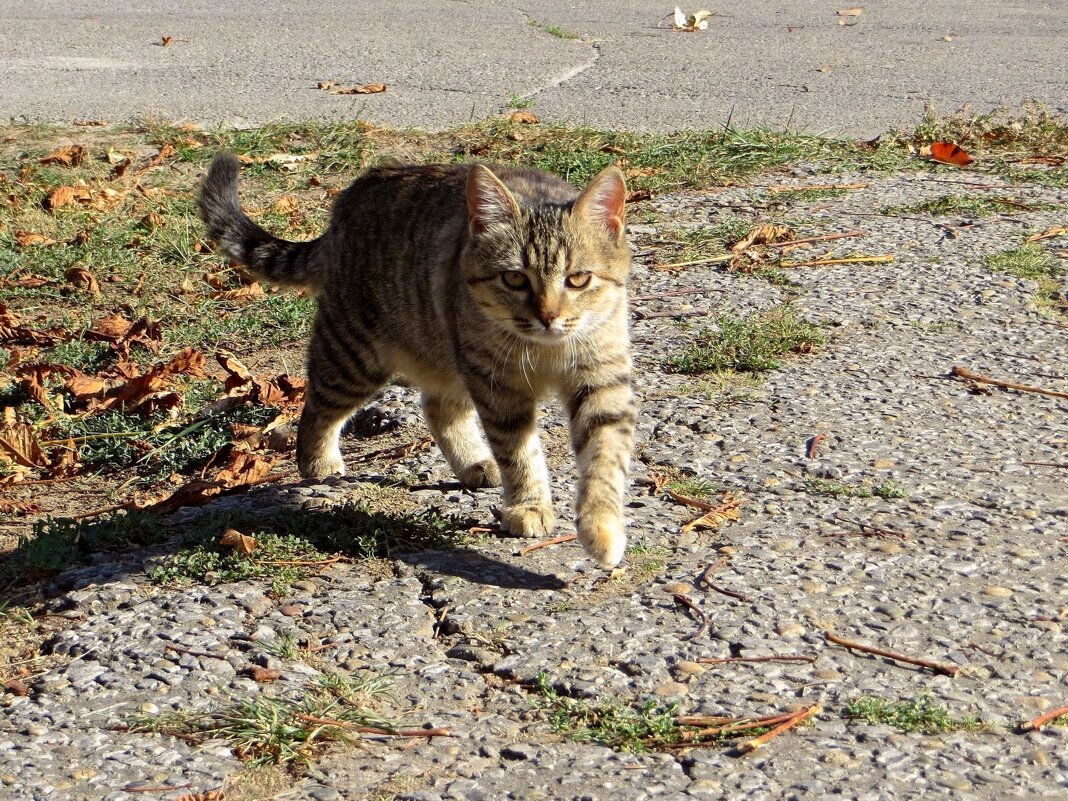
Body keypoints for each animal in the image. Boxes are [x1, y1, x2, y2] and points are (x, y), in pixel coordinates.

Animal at [198, 156, 632, 568]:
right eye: (514, 279)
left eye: (578, 279)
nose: (548, 316)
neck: (545, 350)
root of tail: (354, 193)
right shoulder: (498, 387)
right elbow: (520, 453)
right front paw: (529, 506)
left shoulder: (602, 382)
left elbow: (604, 460)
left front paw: (601, 528)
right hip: (357, 355)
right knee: (319, 404)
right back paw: (317, 460)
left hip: (442, 351)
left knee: (438, 407)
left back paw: (473, 460)